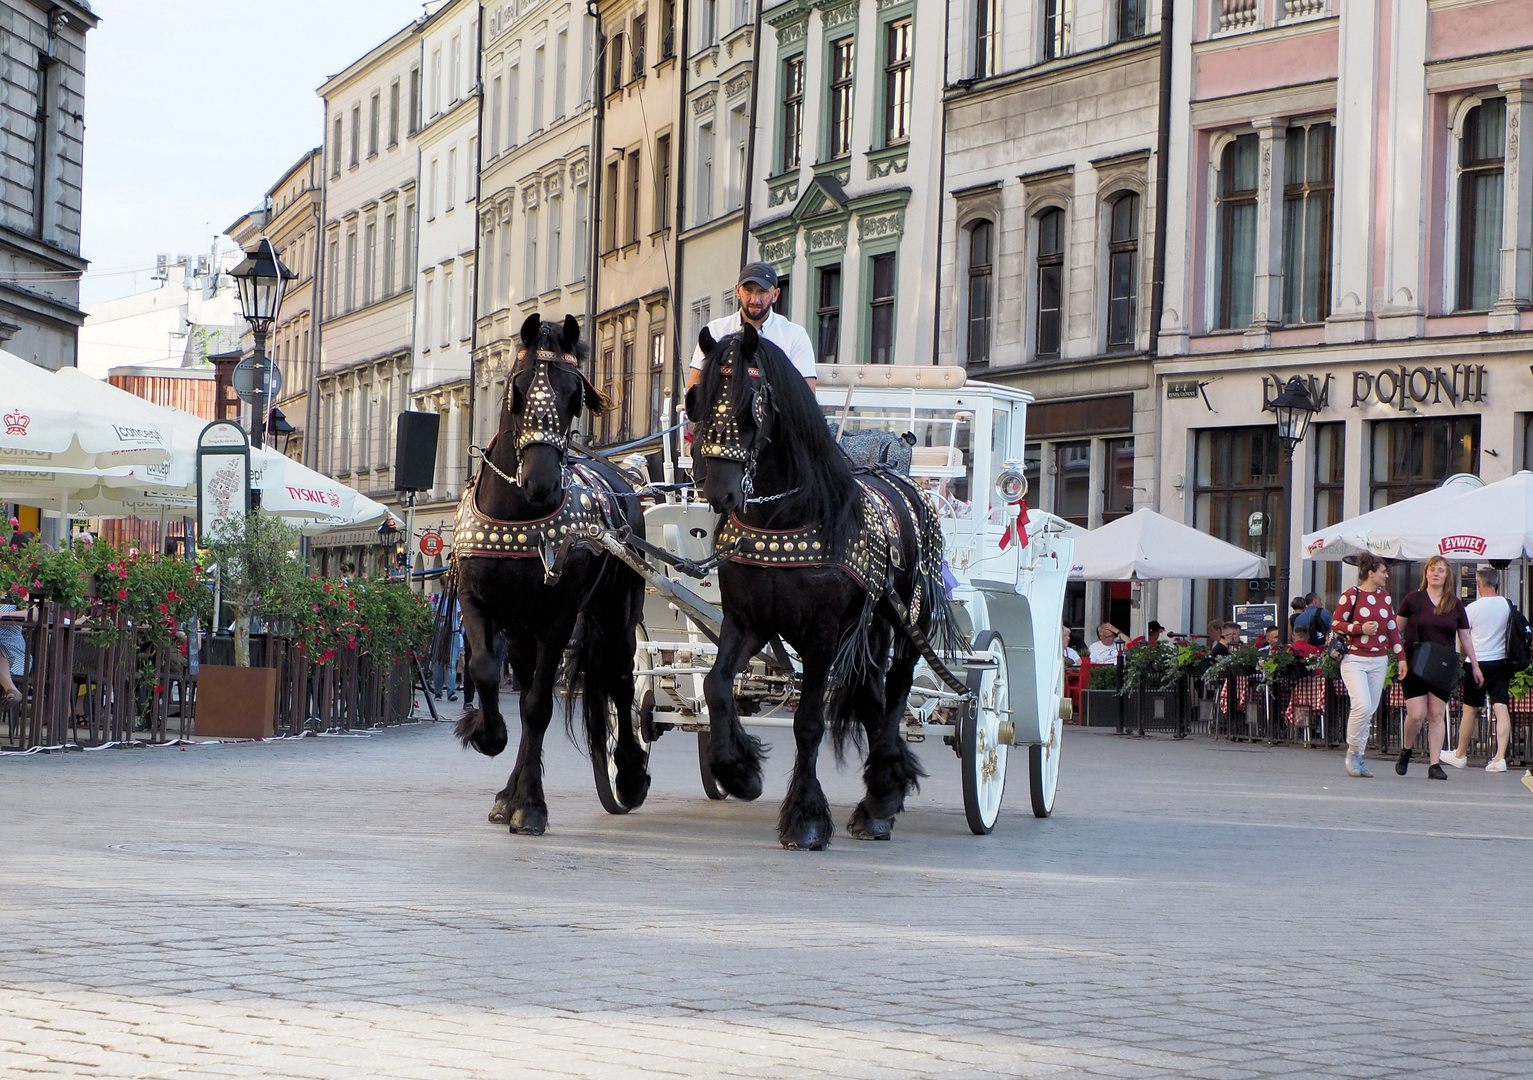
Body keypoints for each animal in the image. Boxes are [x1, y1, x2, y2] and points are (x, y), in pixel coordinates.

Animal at [450, 312, 649, 833]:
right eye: (517, 388)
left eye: (573, 394)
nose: (540, 481)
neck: (519, 515)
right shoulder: (477, 604)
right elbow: (484, 670)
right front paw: (487, 735)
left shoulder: (559, 617)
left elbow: (540, 706)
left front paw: (532, 806)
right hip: (523, 630)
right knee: (524, 691)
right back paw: (509, 792)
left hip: (616, 614)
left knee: (621, 677)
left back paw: (629, 775)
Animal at [683, 324, 944, 845]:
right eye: (698, 401)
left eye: (748, 402)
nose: (719, 491)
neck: (785, 515)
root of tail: (899, 476)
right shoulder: (747, 621)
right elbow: (716, 685)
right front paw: (737, 770)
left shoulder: (821, 634)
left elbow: (807, 723)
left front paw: (804, 817)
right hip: (869, 629)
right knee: (872, 696)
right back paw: (878, 799)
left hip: (909, 620)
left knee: (897, 692)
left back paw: (884, 791)